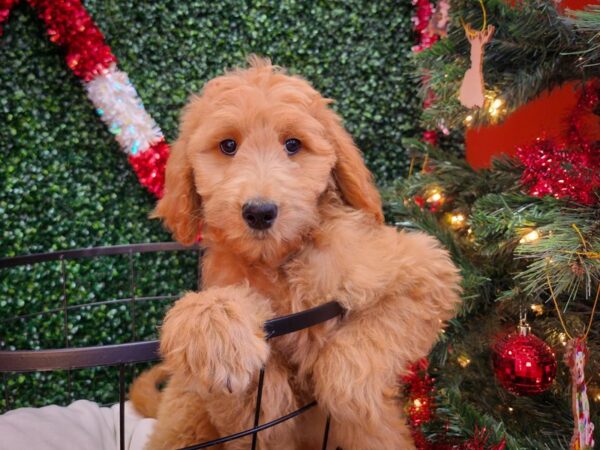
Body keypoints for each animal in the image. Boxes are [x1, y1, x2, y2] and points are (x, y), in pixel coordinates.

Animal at [130, 57, 460, 450]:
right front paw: (215, 334)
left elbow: (379, 330)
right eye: (228, 146)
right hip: (185, 412)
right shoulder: (247, 419)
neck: (281, 263)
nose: (259, 212)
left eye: (292, 144)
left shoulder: (422, 268)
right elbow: (260, 401)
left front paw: (346, 389)